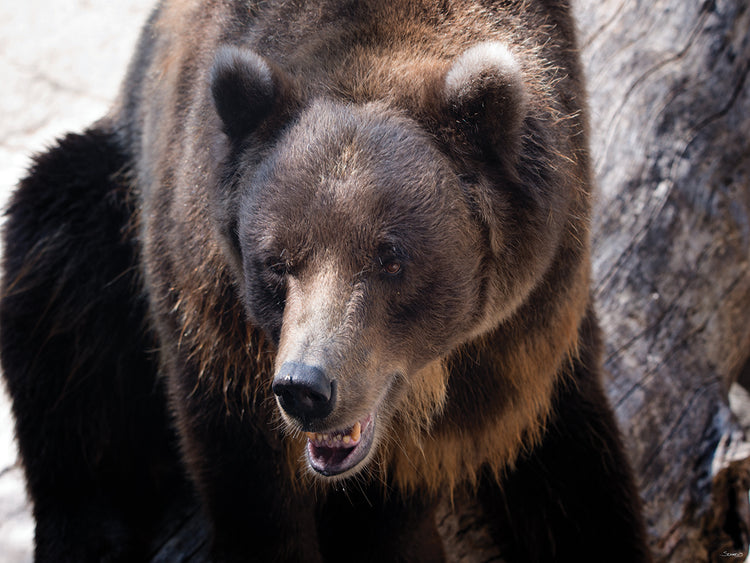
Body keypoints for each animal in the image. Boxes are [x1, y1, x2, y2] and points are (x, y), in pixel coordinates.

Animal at [0, 1, 652, 562]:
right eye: (276, 261)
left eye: (390, 257)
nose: (306, 387)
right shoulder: (212, 310)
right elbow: (251, 483)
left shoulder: (534, 327)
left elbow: (575, 481)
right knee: (57, 279)